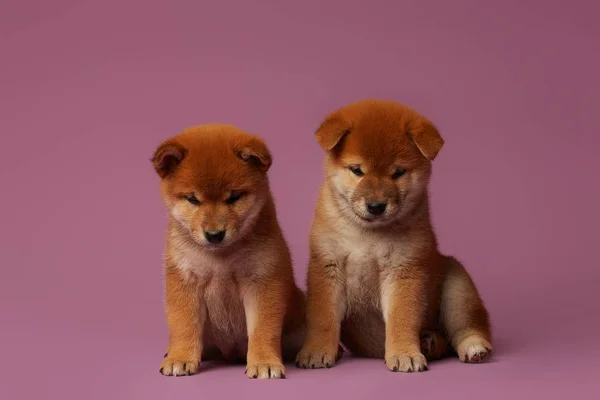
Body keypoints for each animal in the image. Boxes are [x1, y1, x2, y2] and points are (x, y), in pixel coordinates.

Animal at [152, 124, 304, 378]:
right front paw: (180, 357)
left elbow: (263, 329)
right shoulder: (185, 281)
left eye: (234, 197)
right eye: (193, 199)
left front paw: (264, 362)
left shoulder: (262, 281)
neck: (220, 258)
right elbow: (183, 325)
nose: (214, 235)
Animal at [296, 99, 492, 372]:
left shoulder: (403, 269)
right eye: (357, 170)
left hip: (458, 287)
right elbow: (322, 318)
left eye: (398, 172)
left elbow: (402, 318)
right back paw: (430, 341)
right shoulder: (327, 266)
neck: (366, 233)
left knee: (468, 325)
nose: (376, 206)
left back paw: (471, 347)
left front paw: (404, 354)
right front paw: (316, 351)